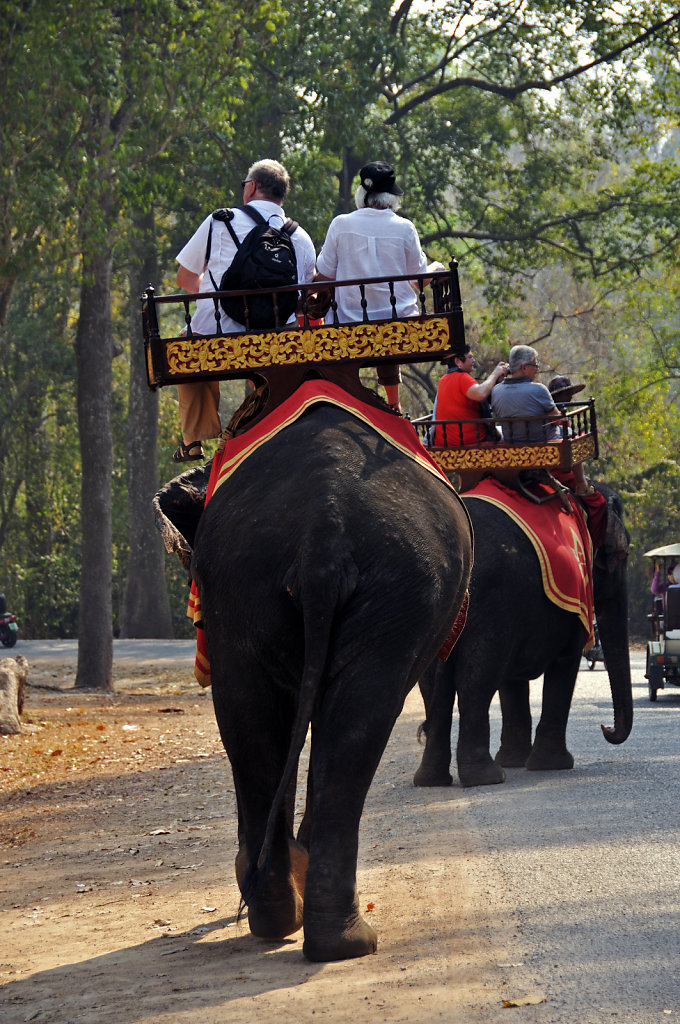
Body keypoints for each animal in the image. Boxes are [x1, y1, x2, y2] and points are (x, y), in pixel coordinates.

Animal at [155, 403, 471, 962]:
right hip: (401, 586)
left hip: (253, 582)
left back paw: (287, 919)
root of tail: (324, 531)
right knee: (355, 723)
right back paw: (338, 937)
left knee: (257, 721)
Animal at [413, 483, 630, 786]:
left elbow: (512, 680)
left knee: (433, 684)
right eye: (620, 555)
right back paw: (487, 777)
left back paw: (432, 779)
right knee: (476, 680)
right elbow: (565, 663)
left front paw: (515, 761)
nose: (605, 727)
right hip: (491, 602)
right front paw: (552, 765)